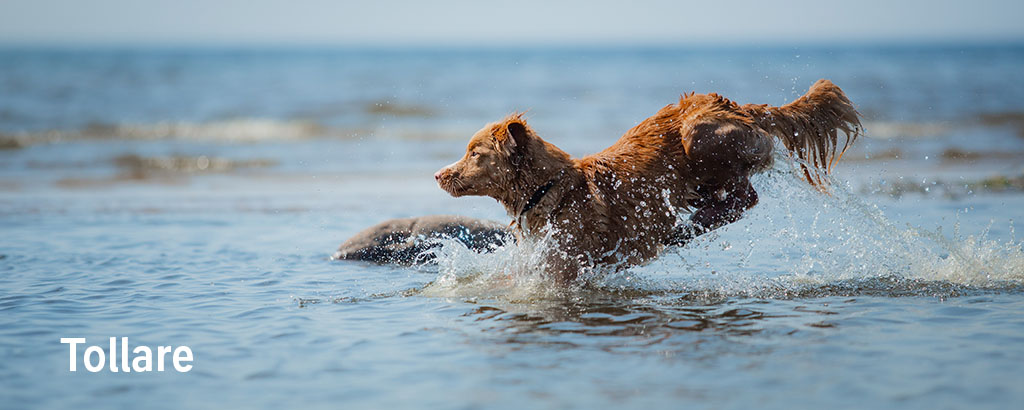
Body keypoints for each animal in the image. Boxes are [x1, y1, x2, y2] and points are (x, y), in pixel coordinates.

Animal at [432, 78, 856, 280]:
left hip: (699, 136)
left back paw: (686, 228)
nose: (438, 174)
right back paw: (686, 226)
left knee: (743, 198)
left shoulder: (564, 264)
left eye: (474, 153)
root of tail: (739, 106)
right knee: (729, 202)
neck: (549, 189)